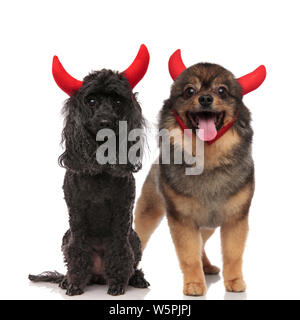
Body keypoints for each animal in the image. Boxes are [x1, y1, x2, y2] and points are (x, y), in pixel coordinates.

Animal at [135, 48, 266, 296]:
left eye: (221, 90)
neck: (208, 160)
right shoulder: (183, 220)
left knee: (202, 243)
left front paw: (234, 281)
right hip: (149, 212)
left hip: (207, 225)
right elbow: (188, 255)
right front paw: (194, 284)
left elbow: (233, 254)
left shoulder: (235, 218)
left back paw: (208, 267)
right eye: (190, 91)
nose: (205, 98)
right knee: (138, 237)